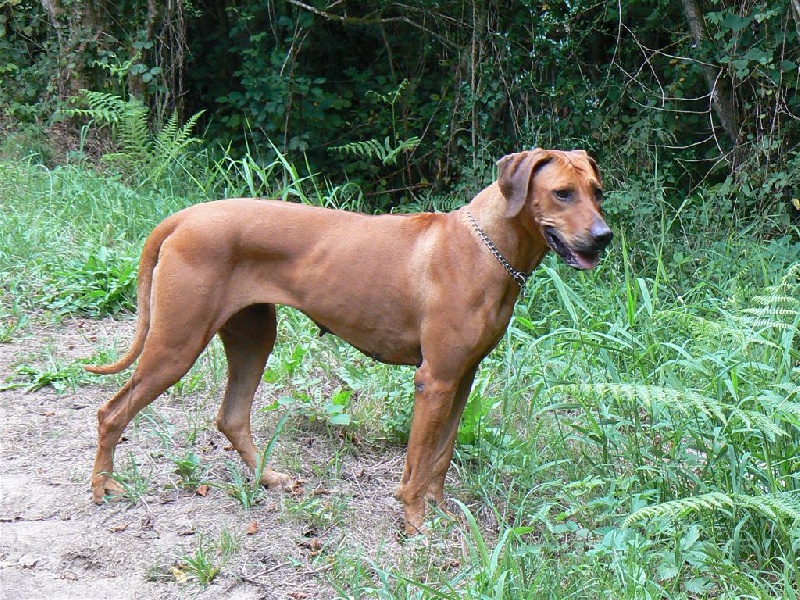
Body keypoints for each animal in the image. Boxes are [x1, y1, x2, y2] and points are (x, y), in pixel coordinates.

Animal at [86, 148, 612, 532]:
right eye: (562, 194)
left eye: (597, 192)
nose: (604, 236)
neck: (487, 247)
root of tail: (183, 217)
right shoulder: (435, 380)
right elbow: (418, 461)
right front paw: (416, 521)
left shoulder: (462, 378)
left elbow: (440, 456)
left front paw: (440, 509)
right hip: (176, 345)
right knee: (112, 412)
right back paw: (101, 488)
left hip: (254, 337)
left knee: (231, 417)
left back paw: (268, 478)